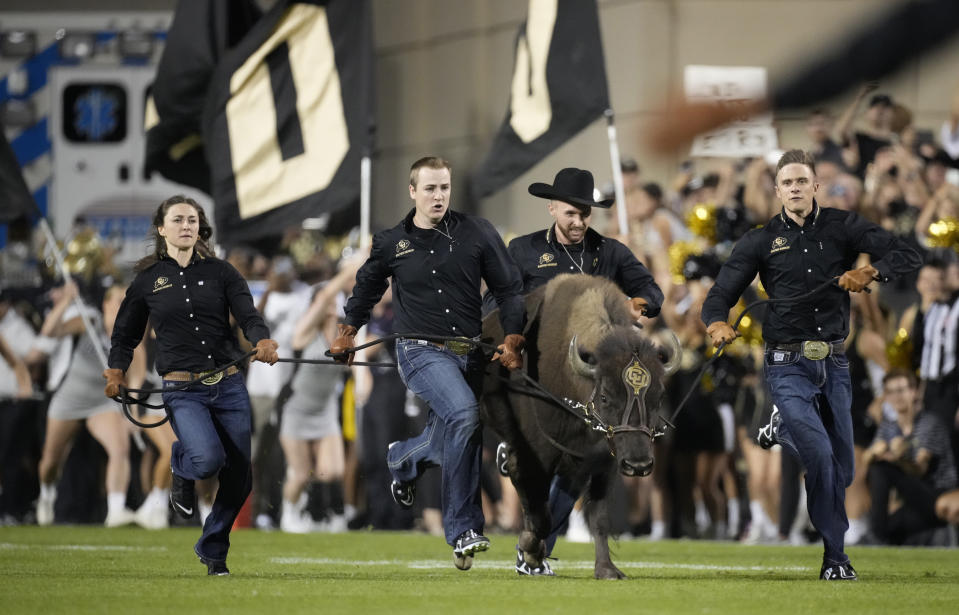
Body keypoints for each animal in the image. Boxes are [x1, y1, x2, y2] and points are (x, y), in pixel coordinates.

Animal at [484, 274, 680, 576]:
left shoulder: (603, 463)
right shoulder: (538, 455)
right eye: (605, 396)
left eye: (659, 396)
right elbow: (540, 509)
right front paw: (530, 551)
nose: (638, 465)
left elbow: (598, 517)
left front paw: (607, 570)